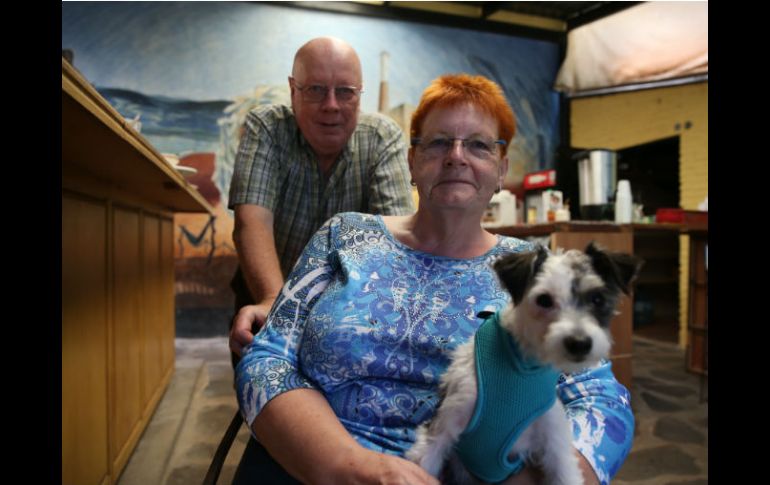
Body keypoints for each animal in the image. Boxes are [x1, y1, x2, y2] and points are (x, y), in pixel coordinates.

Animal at [407, 242, 642, 485]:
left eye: (597, 299)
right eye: (544, 300)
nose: (579, 343)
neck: (522, 364)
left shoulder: (554, 441)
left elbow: (564, 473)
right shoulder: (442, 427)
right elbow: (427, 460)